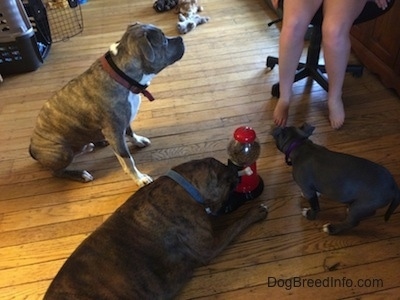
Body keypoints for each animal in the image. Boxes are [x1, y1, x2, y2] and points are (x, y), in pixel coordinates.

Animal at [43, 158, 268, 298]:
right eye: (231, 185)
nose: (236, 168)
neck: (185, 185)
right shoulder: (209, 247)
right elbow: (237, 224)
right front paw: (256, 212)